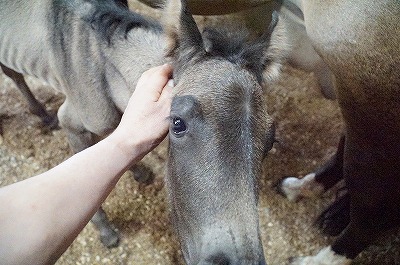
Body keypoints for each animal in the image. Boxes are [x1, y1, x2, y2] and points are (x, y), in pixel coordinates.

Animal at [0, 0, 290, 262]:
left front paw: (139, 173)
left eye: (269, 142)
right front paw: (107, 233)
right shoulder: (73, 121)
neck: (102, 63)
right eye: (177, 123)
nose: (238, 261)